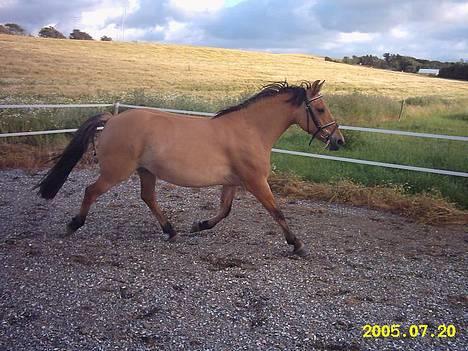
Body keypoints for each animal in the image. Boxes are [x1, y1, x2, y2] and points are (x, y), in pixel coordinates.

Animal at [35, 80, 344, 256]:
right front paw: (297, 244)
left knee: (148, 197)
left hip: (146, 171)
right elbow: (276, 211)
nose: (339, 141)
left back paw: (171, 231)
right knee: (91, 191)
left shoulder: (232, 182)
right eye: (320, 110)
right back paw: (73, 225)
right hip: (116, 172)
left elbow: (224, 211)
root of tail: (111, 119)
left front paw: (199, 225)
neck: (249, 130)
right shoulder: (256, 181)